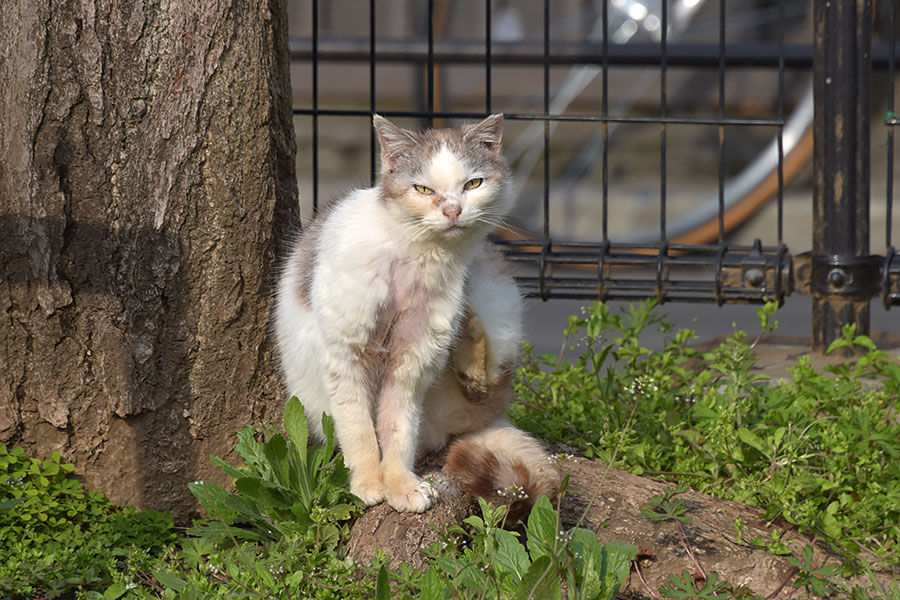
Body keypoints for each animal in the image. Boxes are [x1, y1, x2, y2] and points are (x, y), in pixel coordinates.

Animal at [270, 113, 560, 516]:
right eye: (423, 189)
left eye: (472, 184)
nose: (452, 210)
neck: (414, 256)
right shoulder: (347, 355)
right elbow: (359, 429)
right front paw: (367, 483)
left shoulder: (412, 361)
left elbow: (397, 430)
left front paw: (402, 486)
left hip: (494, 300)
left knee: (484, 386)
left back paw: (468, 340)